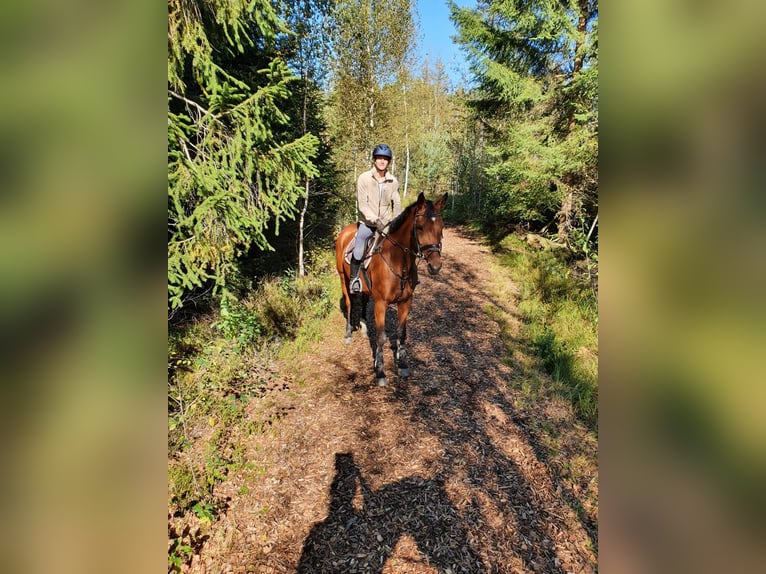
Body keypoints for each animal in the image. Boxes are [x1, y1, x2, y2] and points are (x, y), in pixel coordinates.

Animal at [332, 192, 448, 388]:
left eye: (441, 227)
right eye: (420, 227)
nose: (435, 266)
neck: (398, 261)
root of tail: (345, 231)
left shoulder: (406, 301)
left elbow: (401, 333)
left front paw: (402, 364)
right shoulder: (381, 303)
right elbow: (381, 337)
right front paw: (380, 371)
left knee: (363, 302)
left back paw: (364, 328)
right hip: (343, 278)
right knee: (349, 303)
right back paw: (348, 333)